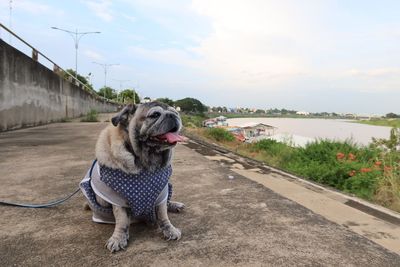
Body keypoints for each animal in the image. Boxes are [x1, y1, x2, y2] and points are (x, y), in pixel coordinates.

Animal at [82, 101, 188, 252]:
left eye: (176, 112)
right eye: (155, 115)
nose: (173, 115)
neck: (146, 162)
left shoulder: (162, 193)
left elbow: (163, 214)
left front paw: (169, 229)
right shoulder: (117, 199)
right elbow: (121, 221)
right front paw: (118, 238)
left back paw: (175, 205)